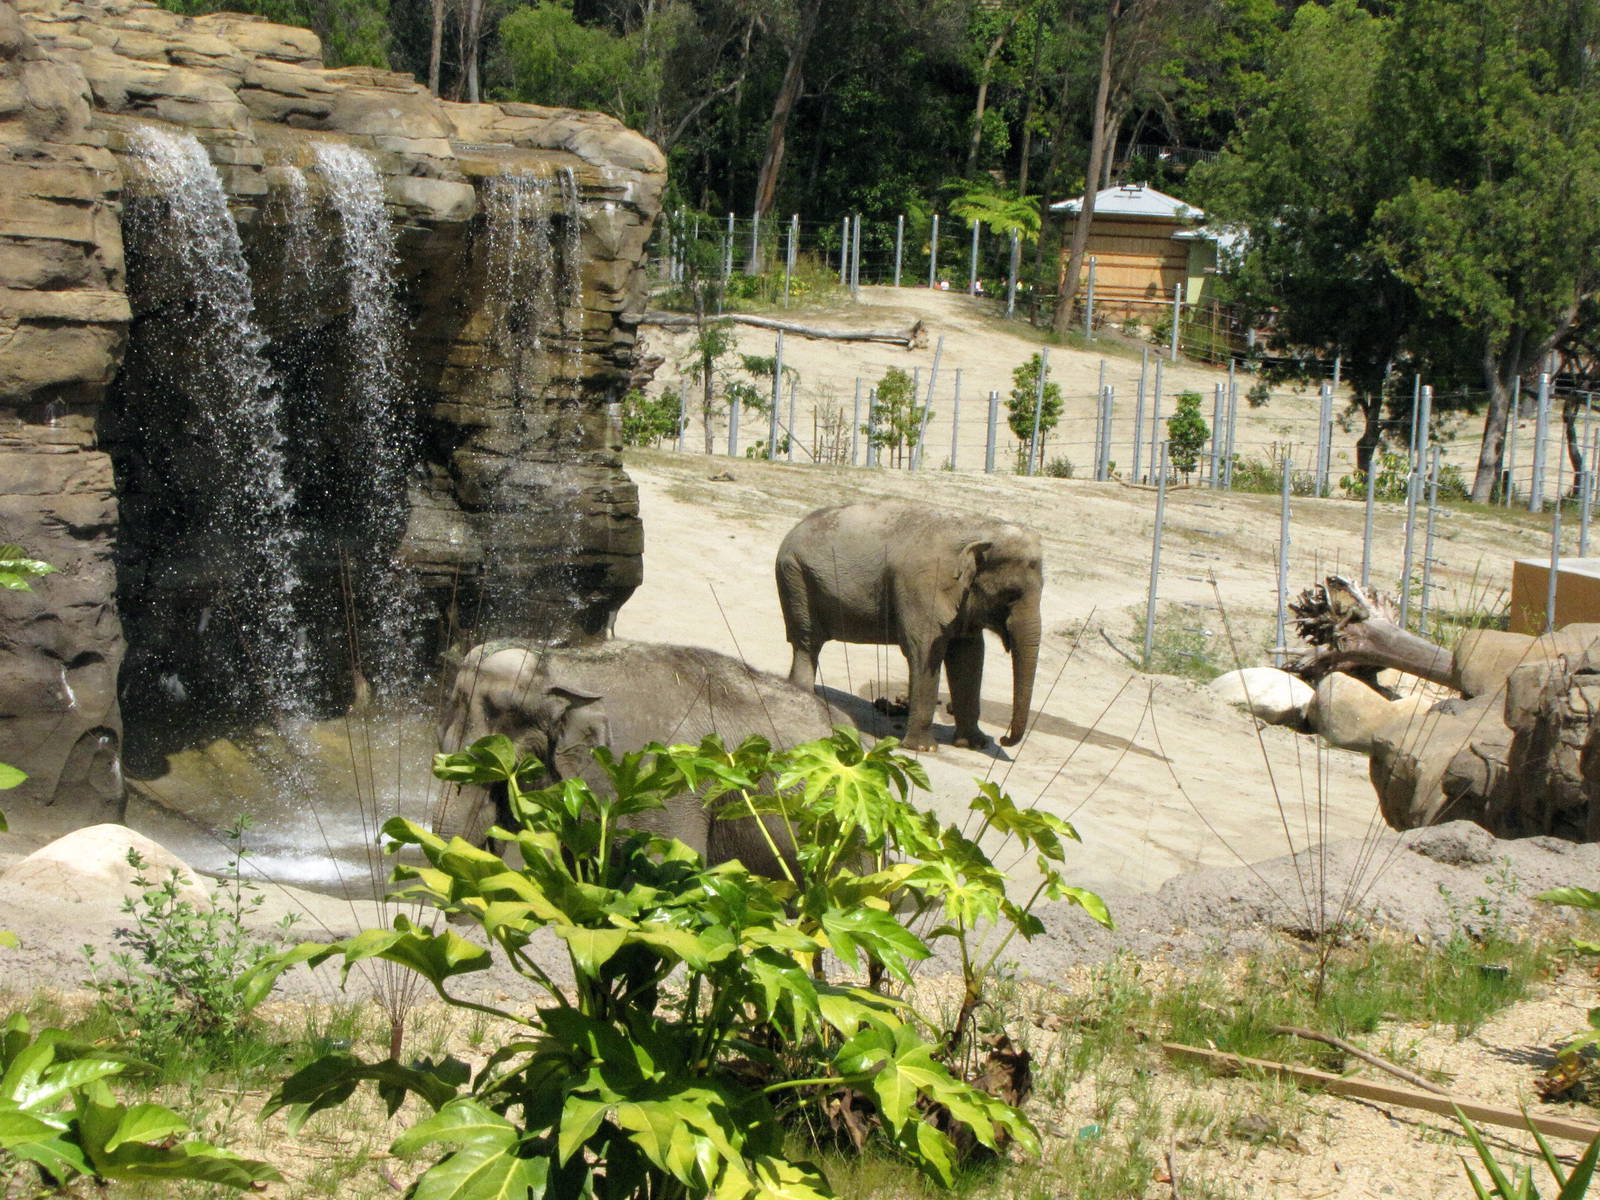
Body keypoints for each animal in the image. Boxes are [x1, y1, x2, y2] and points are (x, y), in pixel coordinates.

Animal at [775, 501, 1043, 752]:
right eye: (1011, 595)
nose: (1003, 738)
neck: (981, 527)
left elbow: (969, 656)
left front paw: (974, 744)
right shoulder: (922, 587)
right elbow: (924, 652)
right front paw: (923, 748)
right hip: (795, 579)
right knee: (807, 642)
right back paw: (804, 695)